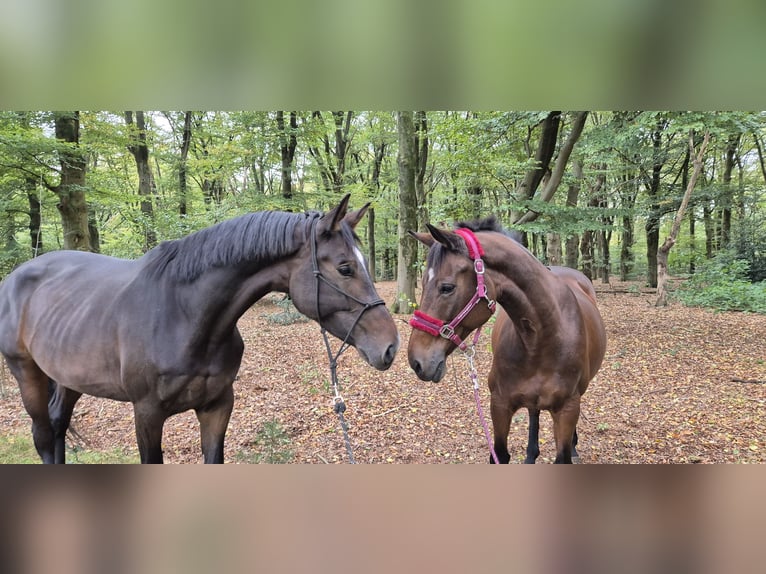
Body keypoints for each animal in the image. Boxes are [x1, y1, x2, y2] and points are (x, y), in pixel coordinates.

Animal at [1, 196, 402, 466]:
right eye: (345, 267)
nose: (390, 347)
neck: (184, 316)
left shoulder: (217, 405)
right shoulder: (147, 414)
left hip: (67, 376)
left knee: (57, 427)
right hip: (27, 373)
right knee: (42, 435)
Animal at [408, 218, 608, 466]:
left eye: (447, 287)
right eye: (423, 284)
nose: (416, 361)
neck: (541, 339)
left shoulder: (567, 409)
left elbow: (562, 456)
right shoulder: (500, 405)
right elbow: (500, 454)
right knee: (533, 413)